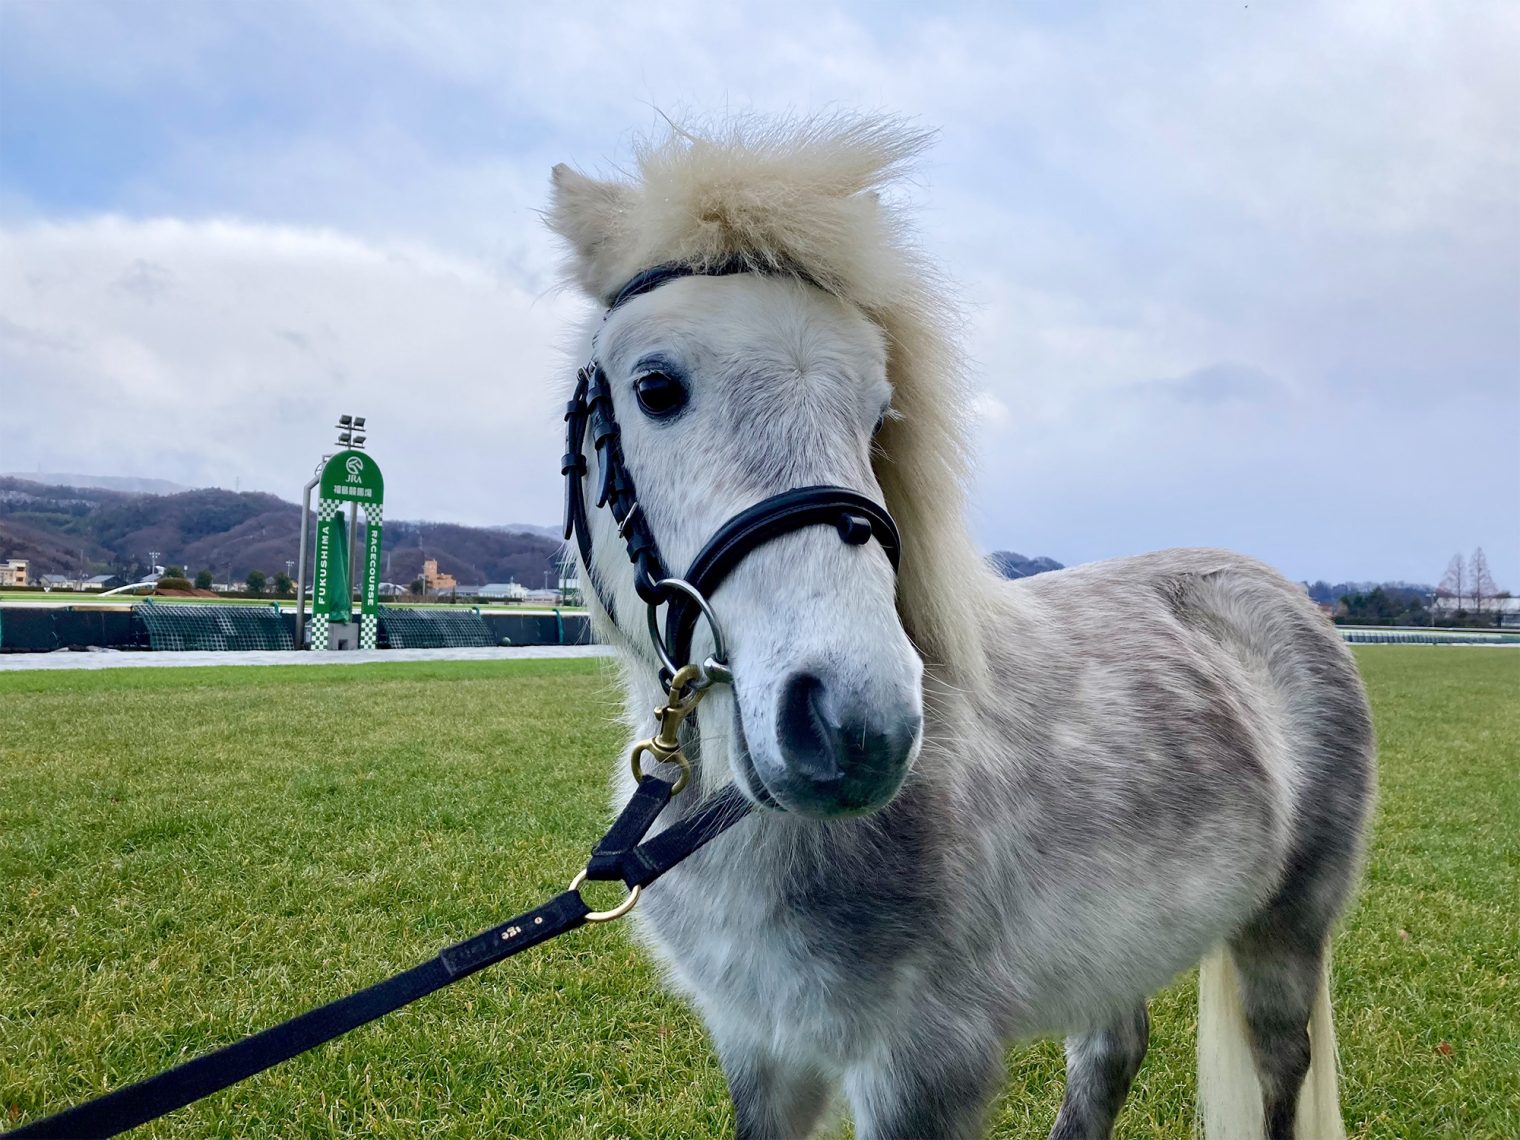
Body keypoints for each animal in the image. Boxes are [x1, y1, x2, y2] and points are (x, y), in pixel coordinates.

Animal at [546, 116, 1374, 1140]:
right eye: (657, 387)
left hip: (1285, 932)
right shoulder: (761, 1052)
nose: (855, 728)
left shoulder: (922, 1070)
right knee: (1113, 1052)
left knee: (1278, 1069)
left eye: (877, 412)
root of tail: (1282, 594)